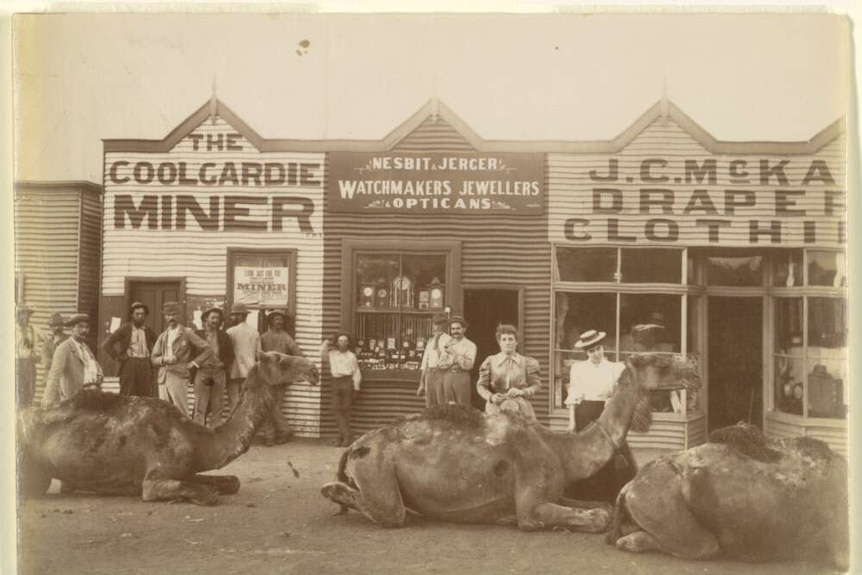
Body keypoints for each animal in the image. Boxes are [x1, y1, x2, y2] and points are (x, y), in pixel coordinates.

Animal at [16, 352, 318, 504]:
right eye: (282, 360)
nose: (314, 370)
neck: (197, 440)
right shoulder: (153, 481)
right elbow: (207, 495)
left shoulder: (187, 469)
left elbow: (232, 482)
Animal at [320, 354, 700, 532]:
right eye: (660, 363)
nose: (694, 373)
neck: (563, 452)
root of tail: (355, 446)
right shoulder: (531, 504)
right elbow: (596, 517)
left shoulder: (552, 490)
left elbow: (603, 506)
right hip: (376, 469)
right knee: (385, 509)